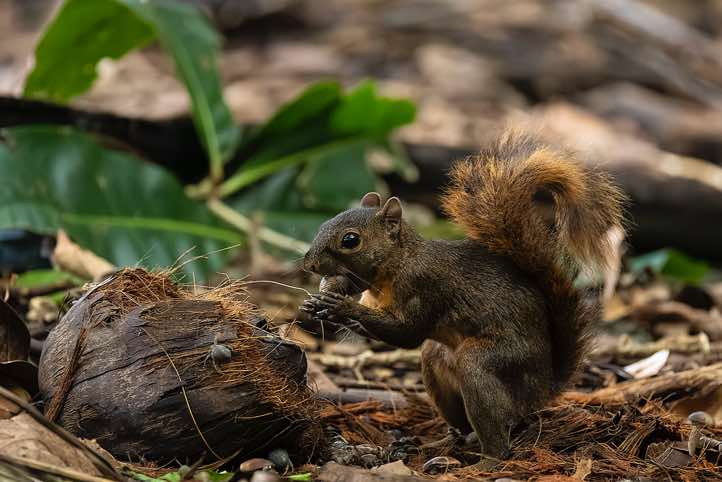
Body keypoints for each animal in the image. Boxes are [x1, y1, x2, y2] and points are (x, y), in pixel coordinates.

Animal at [299, 131, 626, 460]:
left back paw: (488, 460)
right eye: (324, 223)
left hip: (493, 363)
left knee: (497, 427)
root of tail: (543, 389)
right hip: (437, 363)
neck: (396, 266)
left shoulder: (424, 286)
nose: (309, 264)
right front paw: (319, 305)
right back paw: (441, 444)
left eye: (350, 240)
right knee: (463, 417)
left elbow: (407, 333)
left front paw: (343, 307)